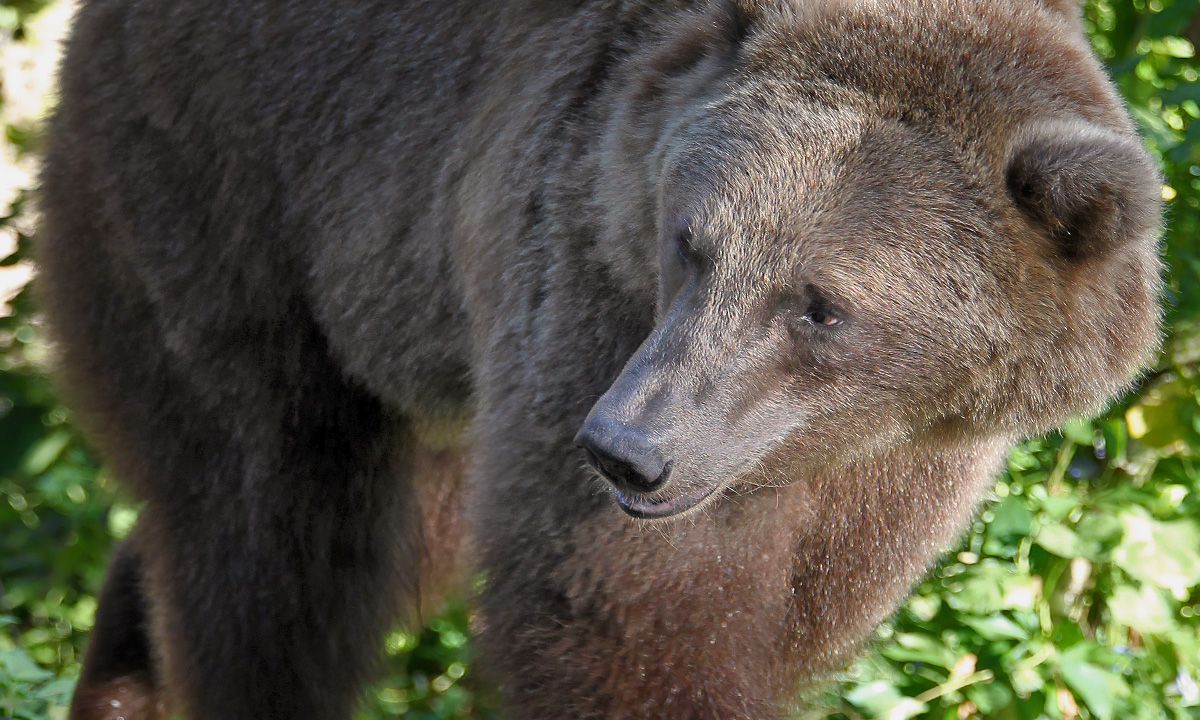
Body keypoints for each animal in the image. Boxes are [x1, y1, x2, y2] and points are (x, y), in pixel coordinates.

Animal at [36, 0, 1162, 718]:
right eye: (690, 240)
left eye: (822, 307)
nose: (629, 449)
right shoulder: (581, 282)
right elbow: (627, 622)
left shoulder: (895, 471)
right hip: (218, 189)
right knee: (275, 526)